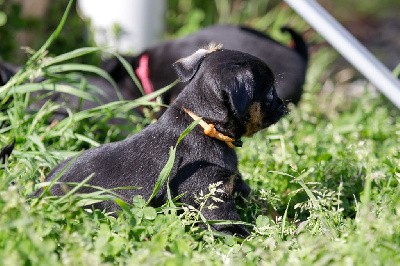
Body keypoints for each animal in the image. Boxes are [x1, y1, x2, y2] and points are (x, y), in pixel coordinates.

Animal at [44, 45, 288, 237]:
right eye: (269, 93)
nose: (285, 106)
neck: (203, 124)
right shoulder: (214, 203)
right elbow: (238, 230)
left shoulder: (235, 184)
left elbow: (261, 202)